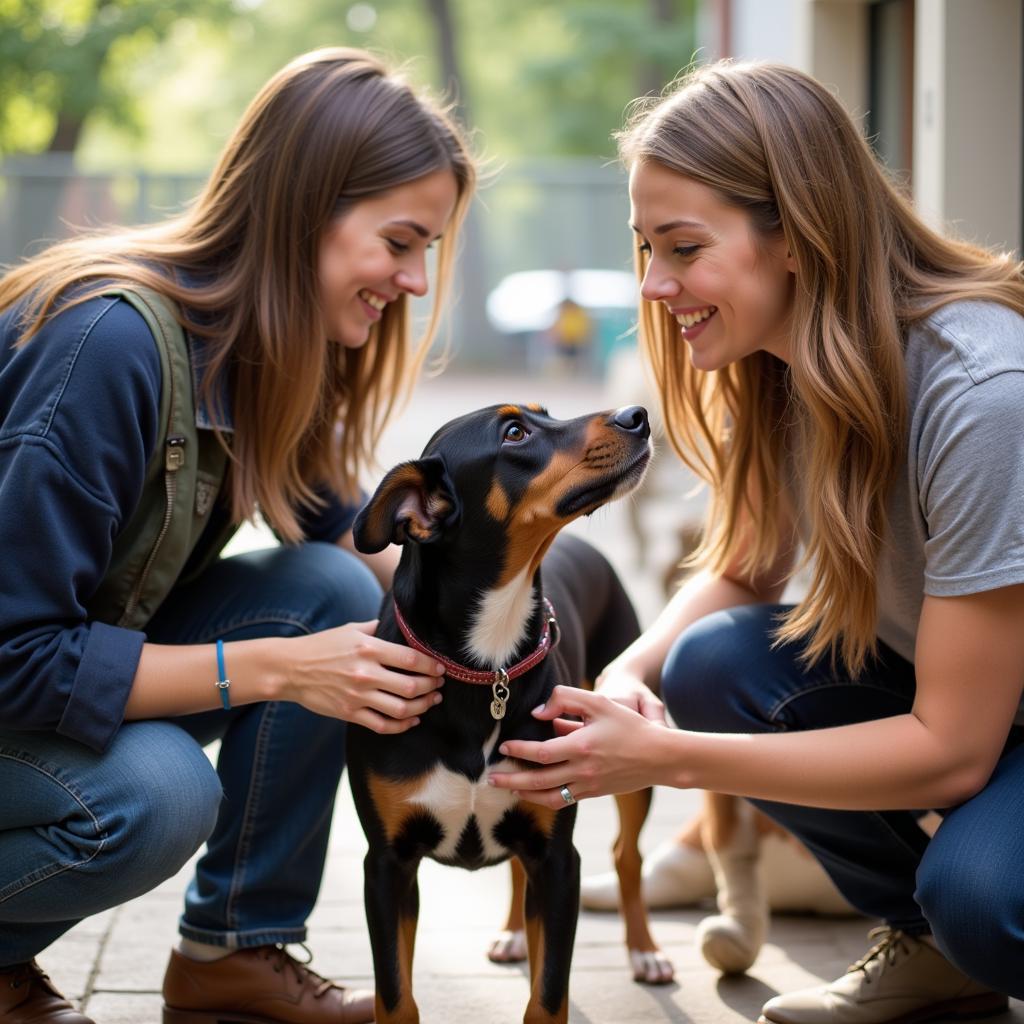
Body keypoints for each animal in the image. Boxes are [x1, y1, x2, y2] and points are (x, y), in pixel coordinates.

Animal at [348, 403, 675, 1019]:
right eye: (515, 433)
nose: (637, 415)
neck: (487, 665)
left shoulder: (559, 860)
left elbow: (548, 996)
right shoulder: (386, 865)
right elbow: (395, 995)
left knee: (627, 856)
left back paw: (645, 951)